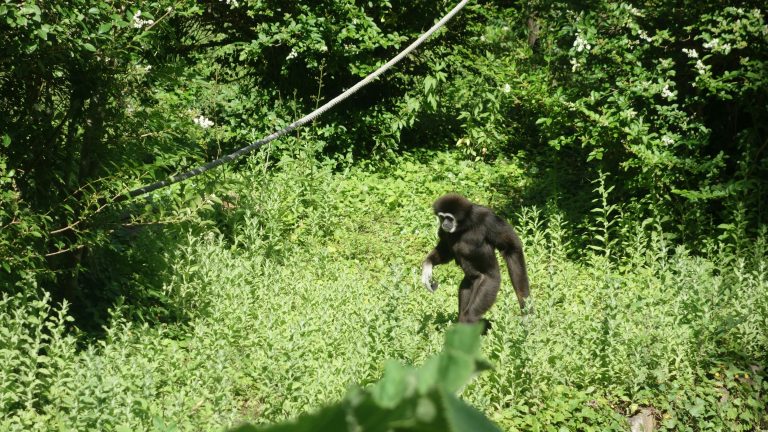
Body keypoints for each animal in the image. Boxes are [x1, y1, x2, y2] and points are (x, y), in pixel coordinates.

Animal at [421, 193, 530, 329]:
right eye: (442, 217)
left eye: (450, 218)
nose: (444, 223)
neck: (464, 227)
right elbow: (446, 249)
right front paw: (427, 267)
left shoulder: (488, 219)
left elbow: (512, 248)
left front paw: (526, 312)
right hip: (468, 284)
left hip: (490, 283)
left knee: (469, 316)